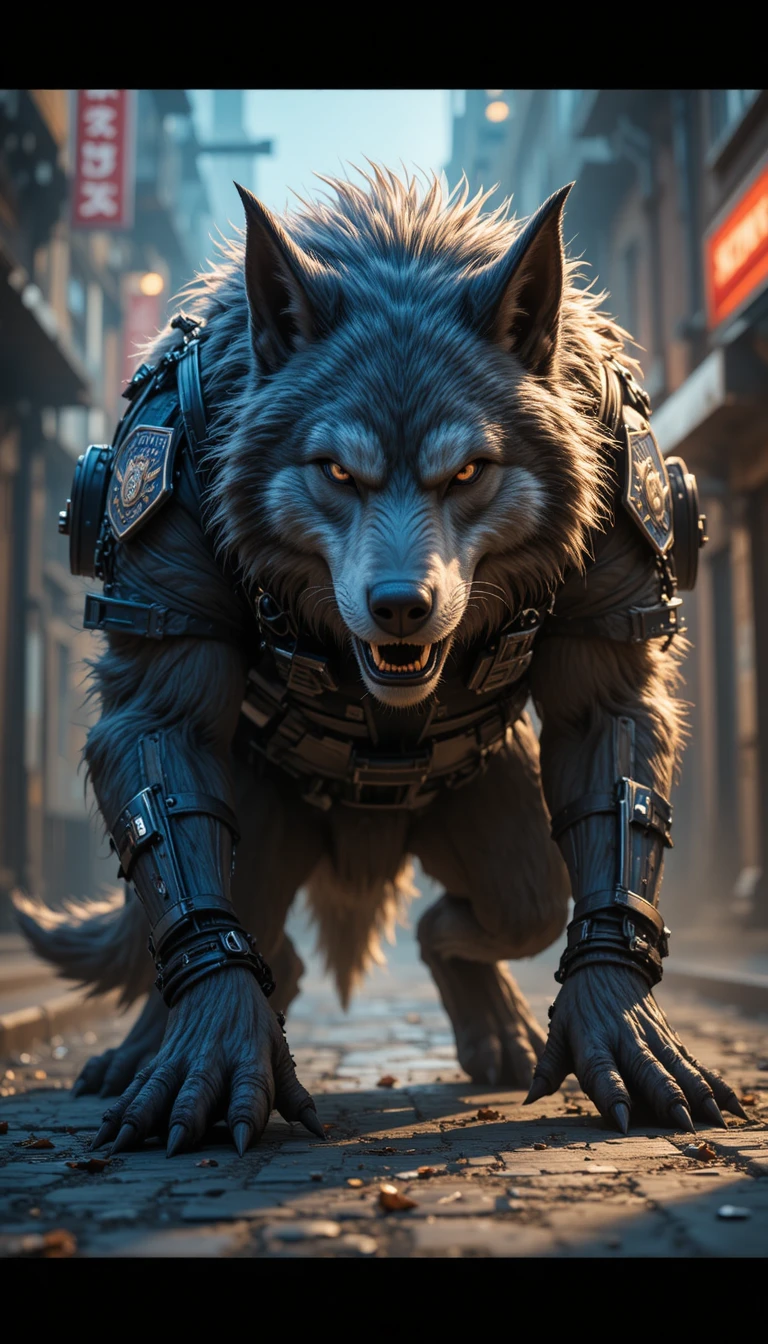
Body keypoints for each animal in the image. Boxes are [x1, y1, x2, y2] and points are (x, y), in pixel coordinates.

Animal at [18, 167, 742, 1156]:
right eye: (336, 471)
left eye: (468, 472)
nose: (402, 605)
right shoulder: (163, 471)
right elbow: (162, 732)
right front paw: (211, 1044)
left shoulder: (619, 469)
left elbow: (609, 744)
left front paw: (617, 1013)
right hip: (258, 824)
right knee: (240, 915)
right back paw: (152, 1046)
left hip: (500, 817)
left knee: (516, 906)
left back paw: (489, 1016)